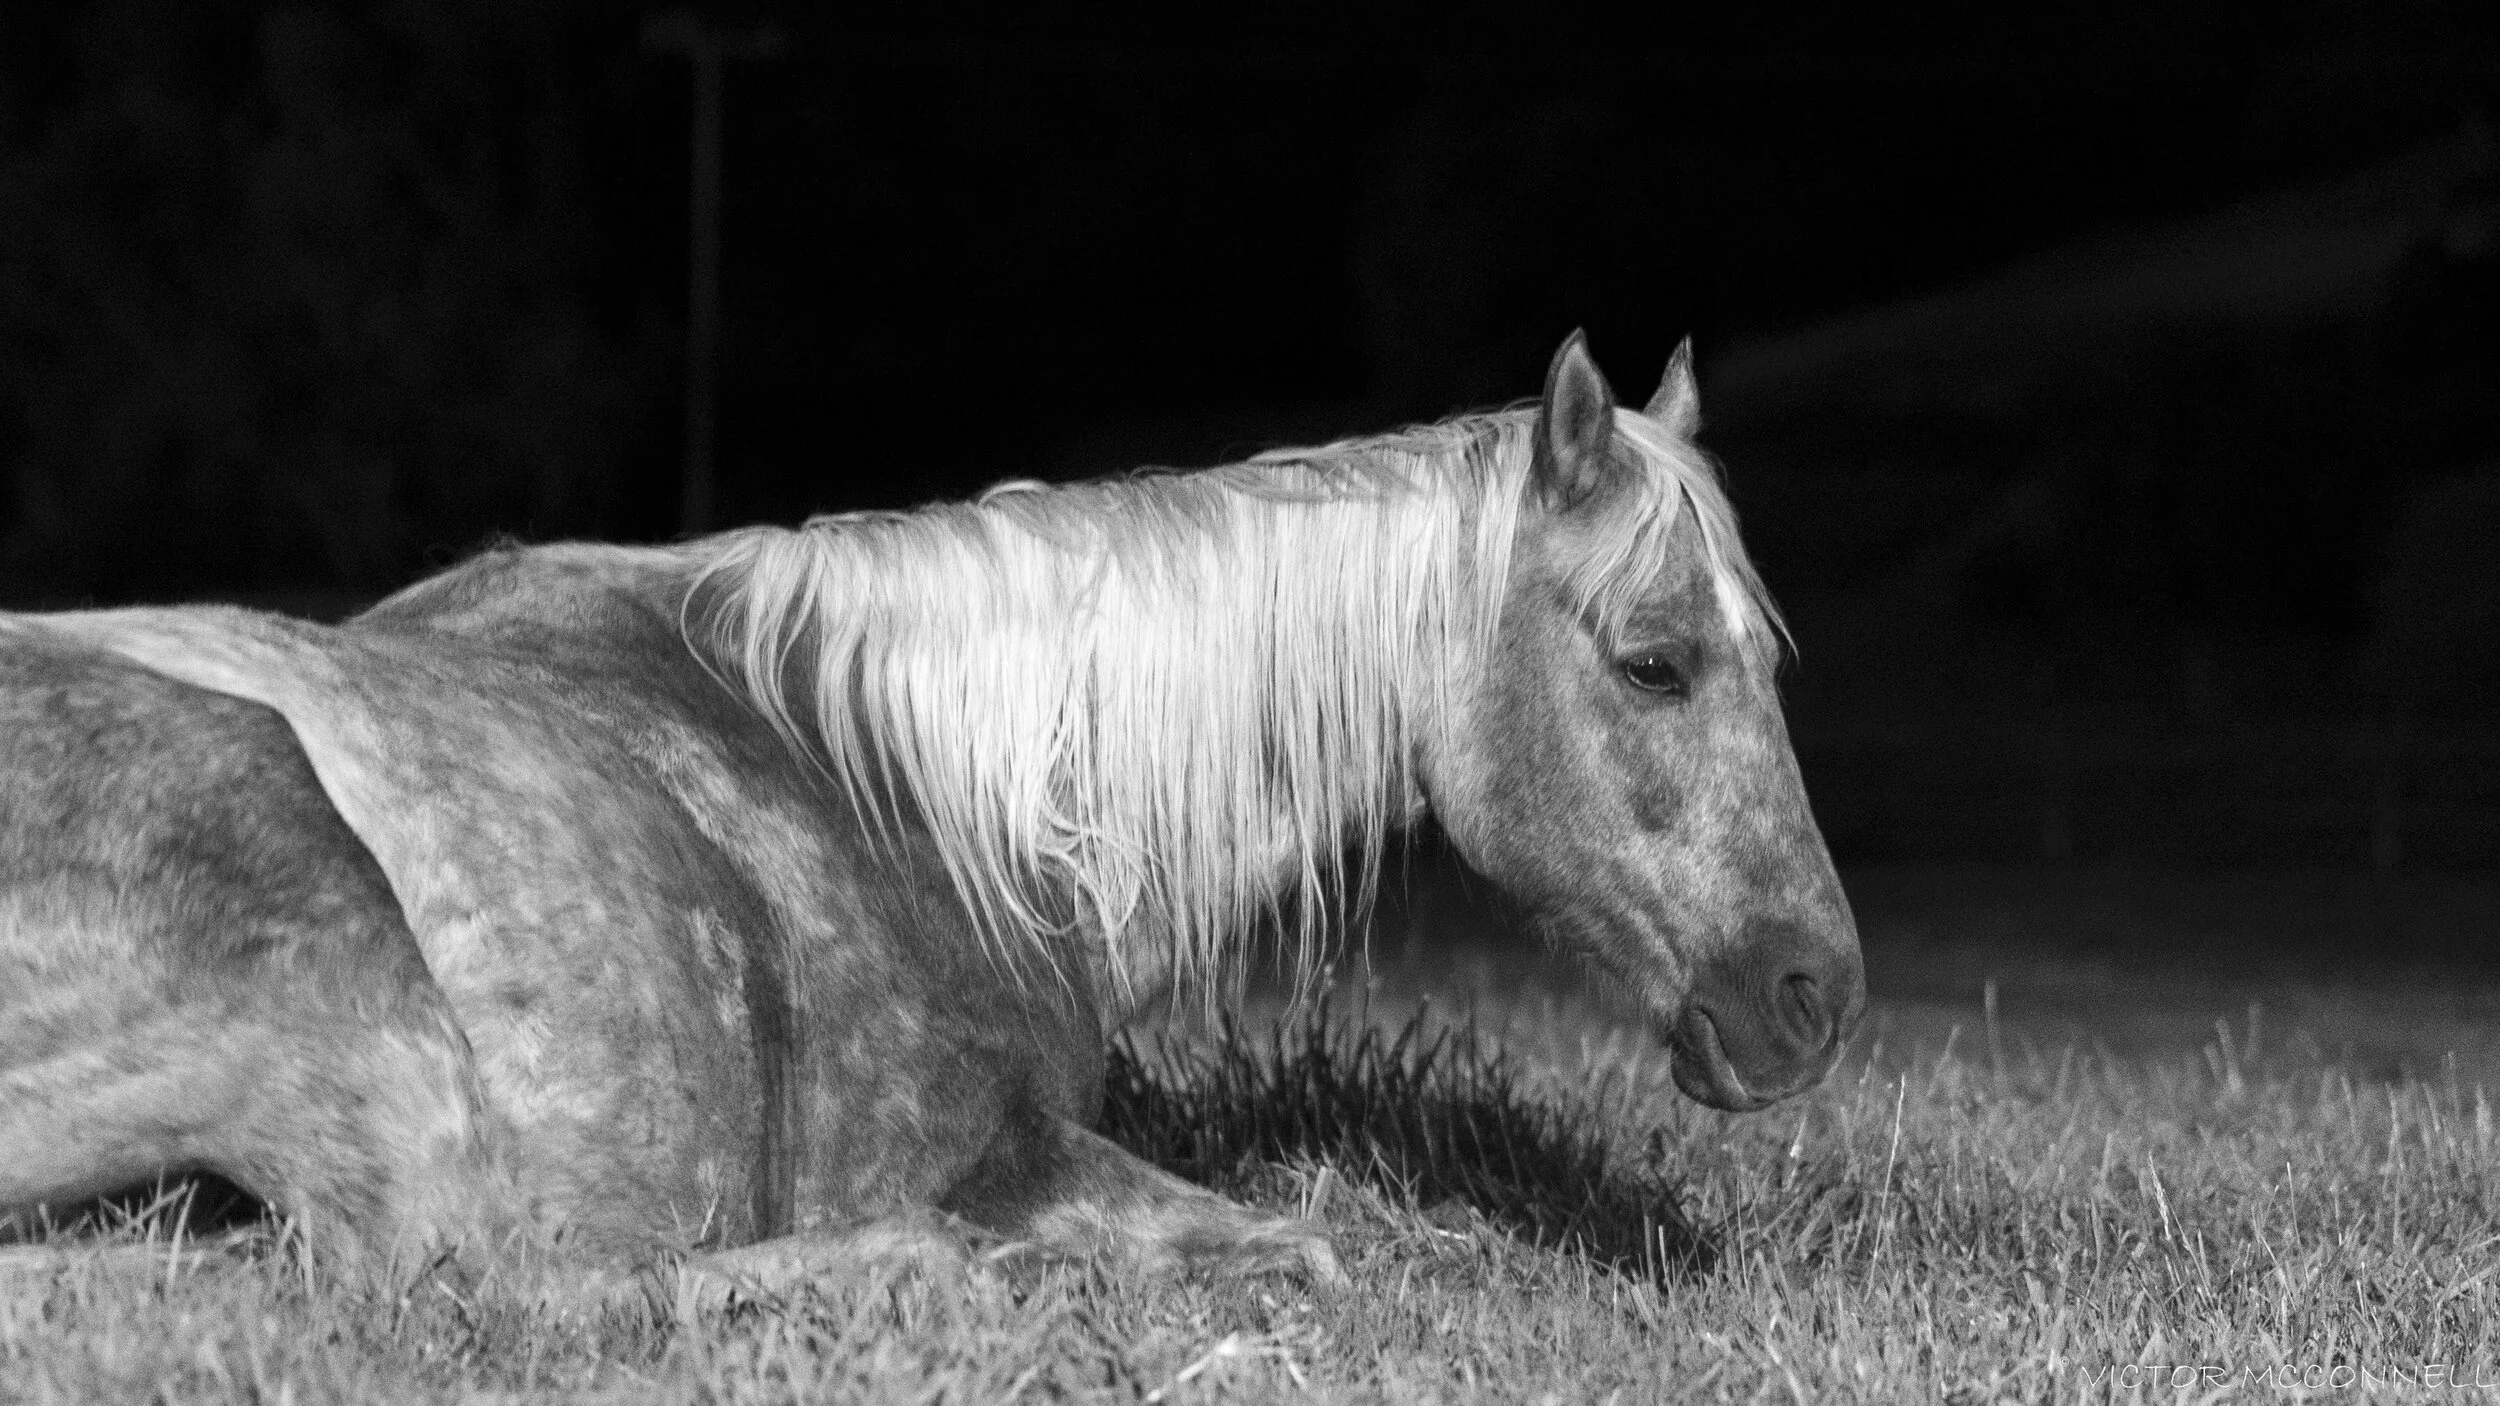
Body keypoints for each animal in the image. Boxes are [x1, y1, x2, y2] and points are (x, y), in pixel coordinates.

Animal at [0, 332, 1863, 1307]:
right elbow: (1320, 1247)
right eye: (1656, 662)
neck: (911, 787)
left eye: (1771, 652)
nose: (1813, 997)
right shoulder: (1021, 1156)